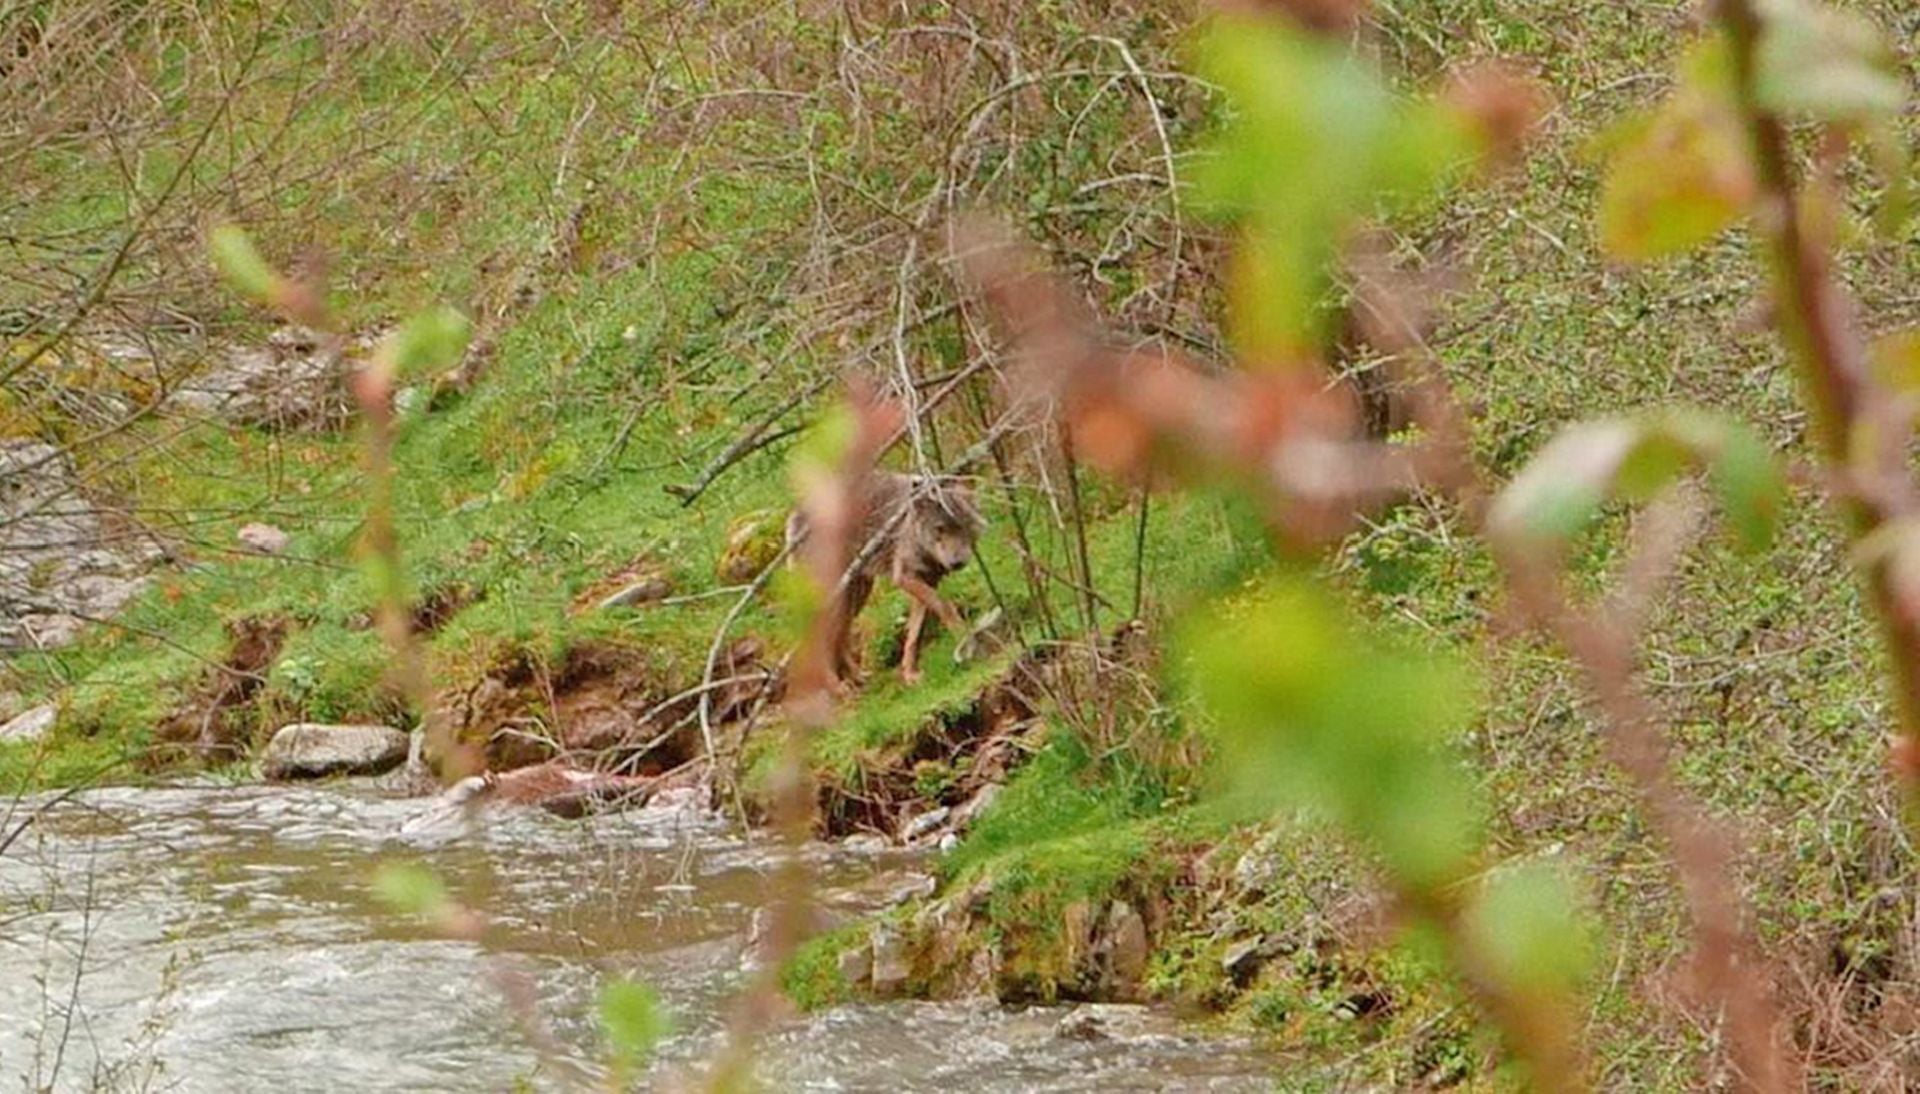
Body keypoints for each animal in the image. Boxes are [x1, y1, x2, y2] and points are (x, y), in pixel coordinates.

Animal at [785, 470, 983, 688]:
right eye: (939, 529)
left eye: (963, 524)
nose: (956, 563)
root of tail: (793, 519)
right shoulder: (904, 577)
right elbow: (945, 607)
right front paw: (966, 641)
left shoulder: (927, 581)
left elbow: (914, 633)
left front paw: (910, 674)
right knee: (818, 642)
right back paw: (838, 688)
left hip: (855, 596)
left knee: (840, 637)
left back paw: (858, 678)